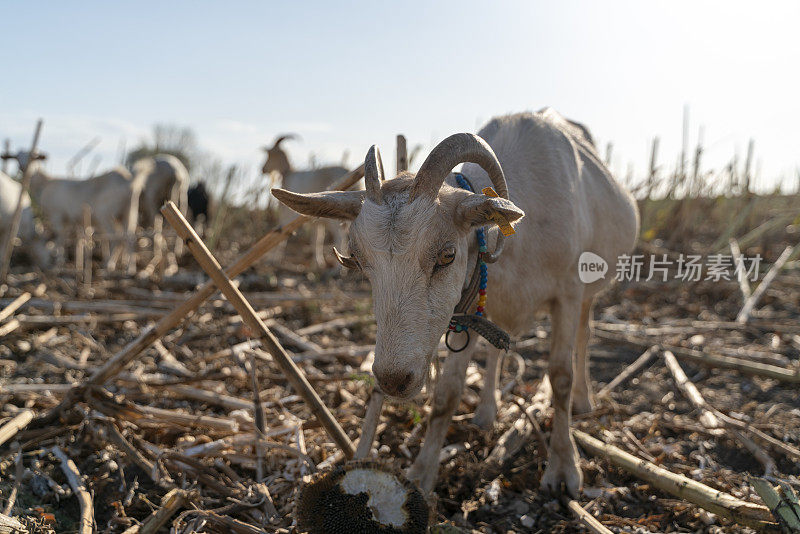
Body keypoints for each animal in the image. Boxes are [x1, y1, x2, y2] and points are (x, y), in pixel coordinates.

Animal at [262, 134, 350, 268]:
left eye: (270, 154)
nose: (263, 169)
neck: (288, 174)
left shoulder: (286, 214)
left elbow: (282, 234)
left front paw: (275, 260)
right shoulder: (316, 221)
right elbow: (316, 239)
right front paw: (317, 263)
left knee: (340, 236)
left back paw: (338, 268)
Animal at [274, 110, 636, 498]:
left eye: (447, 254)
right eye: (356, 260)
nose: (393, 380)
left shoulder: (567, 293)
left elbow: (560, 376)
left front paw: (565, 469)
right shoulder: (469, 300)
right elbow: (447, 392)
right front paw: (422, 474)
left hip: (589, 290)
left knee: (584, 335)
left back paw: (584, 400)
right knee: (495, 349)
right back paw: (487, 412)